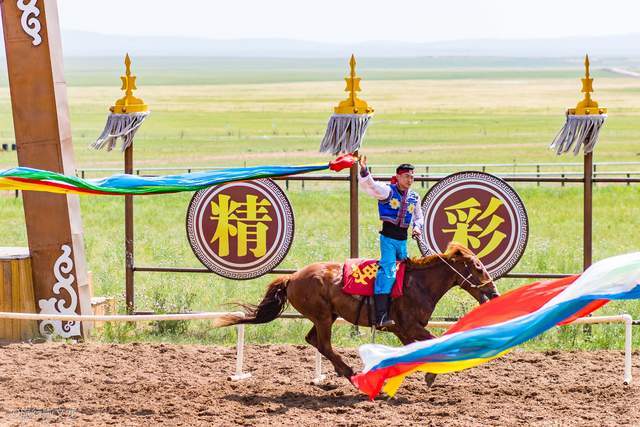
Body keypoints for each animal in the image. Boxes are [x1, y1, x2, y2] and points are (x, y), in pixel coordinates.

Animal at [215, 242, 500, 382]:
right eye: (477, 266)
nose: (494, 292)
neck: (418, 283)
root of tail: (292, 277)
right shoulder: (410, 326)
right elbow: (435, 343)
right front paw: (431, 373)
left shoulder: (403, 330)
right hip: (322, 317)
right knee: (324, 344)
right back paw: (350, 372)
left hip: (326, 316)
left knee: (313, 340)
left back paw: (344, 371)